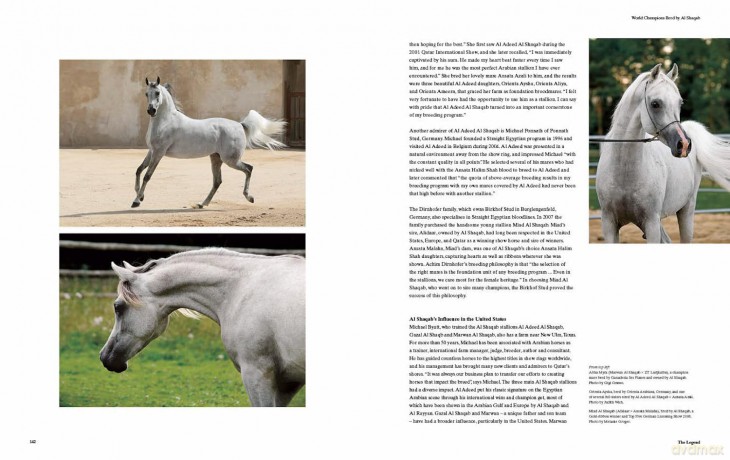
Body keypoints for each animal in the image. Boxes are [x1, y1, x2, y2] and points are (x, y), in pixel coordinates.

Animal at [132, 76, 287, 208]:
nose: (151, 110)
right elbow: (139, 170)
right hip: (216, 158)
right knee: (217, 181)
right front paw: (140, 196)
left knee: (249, 169)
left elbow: (147, 175)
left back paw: (249, 197)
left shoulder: (159, 153)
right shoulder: (152, 151)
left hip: (231, 160)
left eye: (157, 93)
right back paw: (202, 204)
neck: (166, 121)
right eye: (146, 94)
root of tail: (240, 125)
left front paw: (136, 201)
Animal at [596, 63, 730, 243]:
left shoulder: (651, 223)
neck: (624, 171)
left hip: (686, 210)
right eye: (655, 104)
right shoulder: (609, 223)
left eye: (680, 103)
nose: (684, 144)